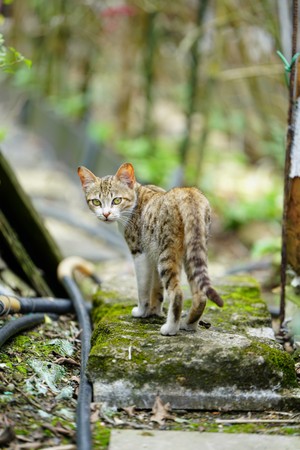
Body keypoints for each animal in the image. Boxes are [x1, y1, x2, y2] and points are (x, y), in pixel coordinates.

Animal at [77, 162, 223, 334]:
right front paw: (154, 311)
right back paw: (188, 325)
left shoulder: (140, 253)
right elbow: (157, 289)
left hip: (167, 254)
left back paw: (170, 328)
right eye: (96, 202)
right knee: (200, 295)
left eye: (117, 200)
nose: (106, 214)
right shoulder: (153, 254)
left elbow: (143, 288)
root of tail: (188, 193)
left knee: (177, 292)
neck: (136, 198)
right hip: (192, 251)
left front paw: (141, 311)